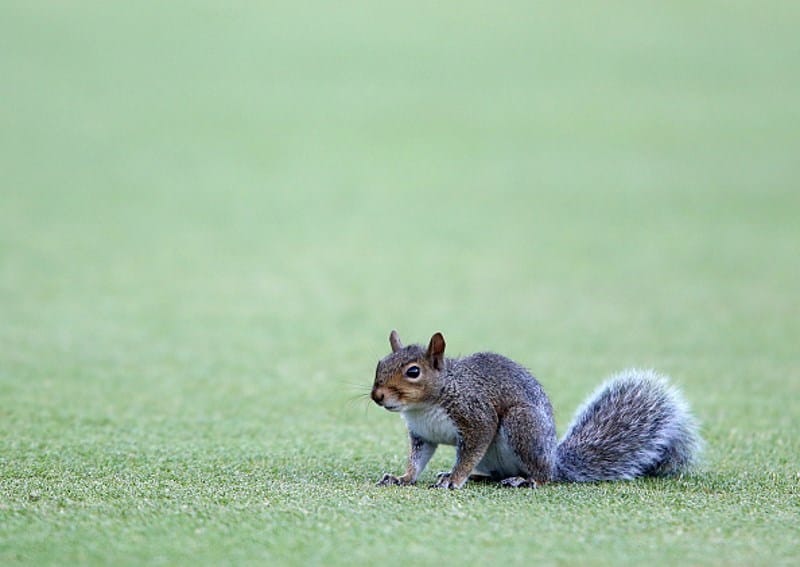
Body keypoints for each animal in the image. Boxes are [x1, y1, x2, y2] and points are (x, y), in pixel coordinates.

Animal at [371, 330, 702, 489]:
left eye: (413, 372)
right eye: (380, 363)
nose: (377, 395)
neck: (424, 406)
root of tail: (555, 461)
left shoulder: (476, 416)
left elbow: (470, 450)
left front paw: (455, 479)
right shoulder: (422, 435)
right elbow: (417, 459)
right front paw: (403, 478)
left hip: (522, 426)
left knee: (541, 476)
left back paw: (525, 480)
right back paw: (481, 477)